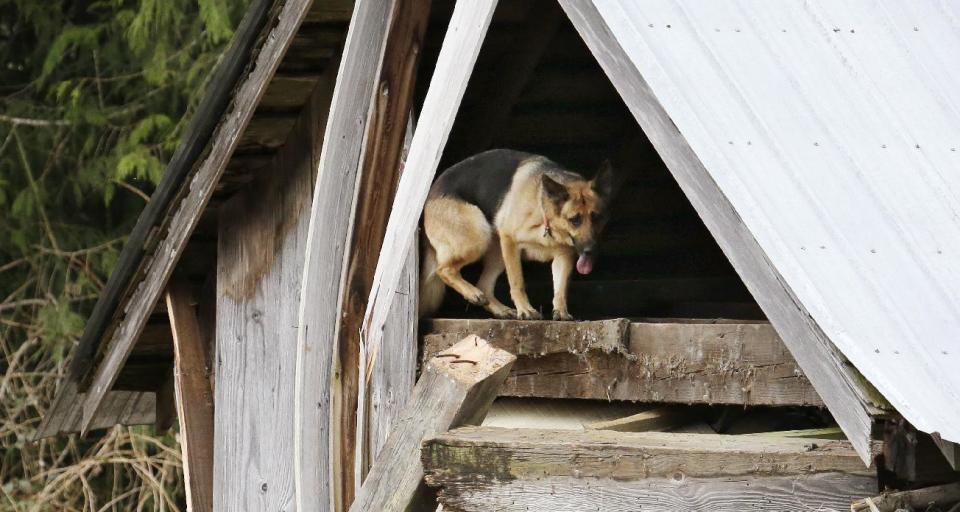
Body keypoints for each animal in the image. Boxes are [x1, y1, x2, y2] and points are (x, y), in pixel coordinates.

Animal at [420, 148, 616, 322]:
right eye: (574, 220)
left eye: (597, 218)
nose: (590, 251)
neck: (546, 215)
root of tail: (431, 193)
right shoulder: (510, 241)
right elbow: (517, 283)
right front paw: (526, 310)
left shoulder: (564, 256)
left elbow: (560, 288)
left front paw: (561, 311)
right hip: (480, 235)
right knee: (444, 269)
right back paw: (473, 293)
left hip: (497, 251)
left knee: (483, 284)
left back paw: (499, 309)